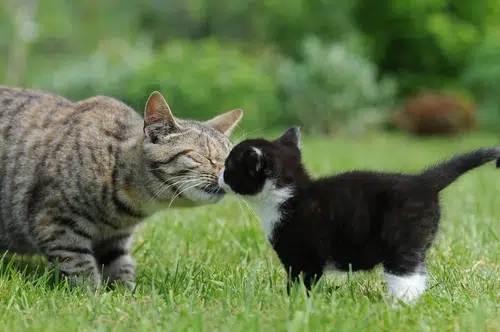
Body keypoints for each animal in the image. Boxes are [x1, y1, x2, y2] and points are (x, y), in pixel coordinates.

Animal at [0, 87, 242, 290]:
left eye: (230, 158)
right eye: (204, 156)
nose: (228, 173)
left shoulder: (115, 238)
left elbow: (120, 267)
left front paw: (127, 294)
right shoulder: (55, 221)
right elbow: (80, 266)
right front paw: (92, 297)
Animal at [219, 127, 500, 304]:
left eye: (230, 166)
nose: (220, 174)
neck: (289, 194)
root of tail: (422, 181)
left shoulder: (303, 254)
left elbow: (302, 280)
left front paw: (294, 303)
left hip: (401, 234)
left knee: (406, 272)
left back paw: (399, 306)